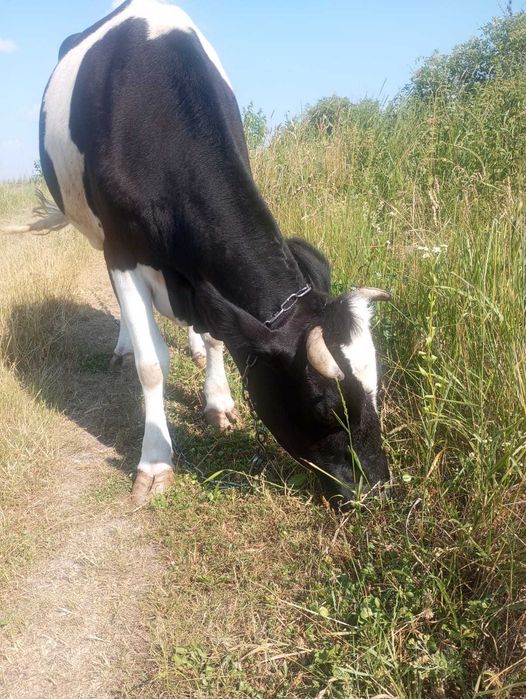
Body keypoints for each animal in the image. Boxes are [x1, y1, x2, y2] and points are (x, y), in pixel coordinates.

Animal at [8, 0, 391, 507]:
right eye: (326, 405)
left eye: (375, 391)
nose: (378, 486)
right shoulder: (121, 247)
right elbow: (152, 365)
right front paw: (154, 462)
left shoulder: (204, 277)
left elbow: (217, 333)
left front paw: (219, 403)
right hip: (93, 230)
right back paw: (124, 346)